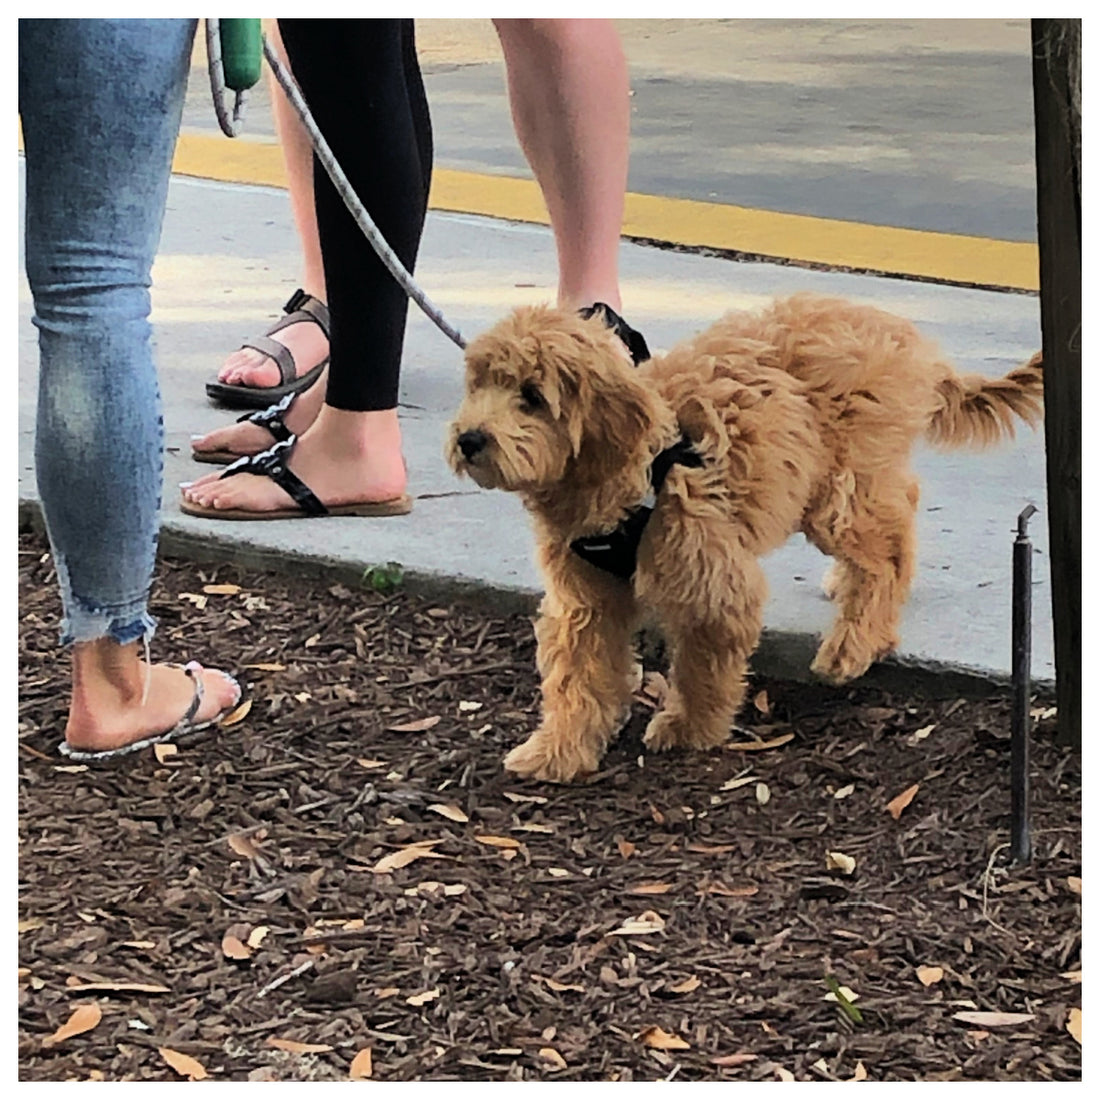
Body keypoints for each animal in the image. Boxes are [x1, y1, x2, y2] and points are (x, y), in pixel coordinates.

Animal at [444, 294, 1038, 783]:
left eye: (531, 396)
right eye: (479, 385)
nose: (469, 439)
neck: (641, 465)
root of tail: (903, 335)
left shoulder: (713, 580)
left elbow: (703, 667)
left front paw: (689, 728)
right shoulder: (585, 600)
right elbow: (577, 675)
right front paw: (558, 751)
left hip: (836, 492)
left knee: (888, 549)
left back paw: (854, 643)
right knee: (902, 505)